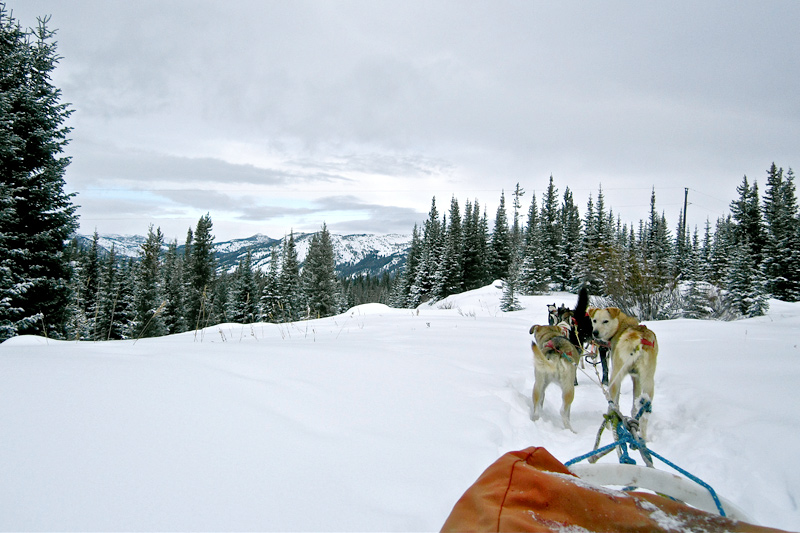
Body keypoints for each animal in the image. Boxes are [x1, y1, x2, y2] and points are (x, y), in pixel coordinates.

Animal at [588, 308, 656, 436]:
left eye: (605, 321)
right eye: (594, 320)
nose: (595, 332)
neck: (622, 326)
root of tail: (637, 341)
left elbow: (616, 402)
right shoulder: (636, 379)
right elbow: (634, 407)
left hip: (615, 376)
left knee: (612, 405)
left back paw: (610, 425)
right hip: (648, 383)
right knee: (644, 415)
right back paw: (643, 437)